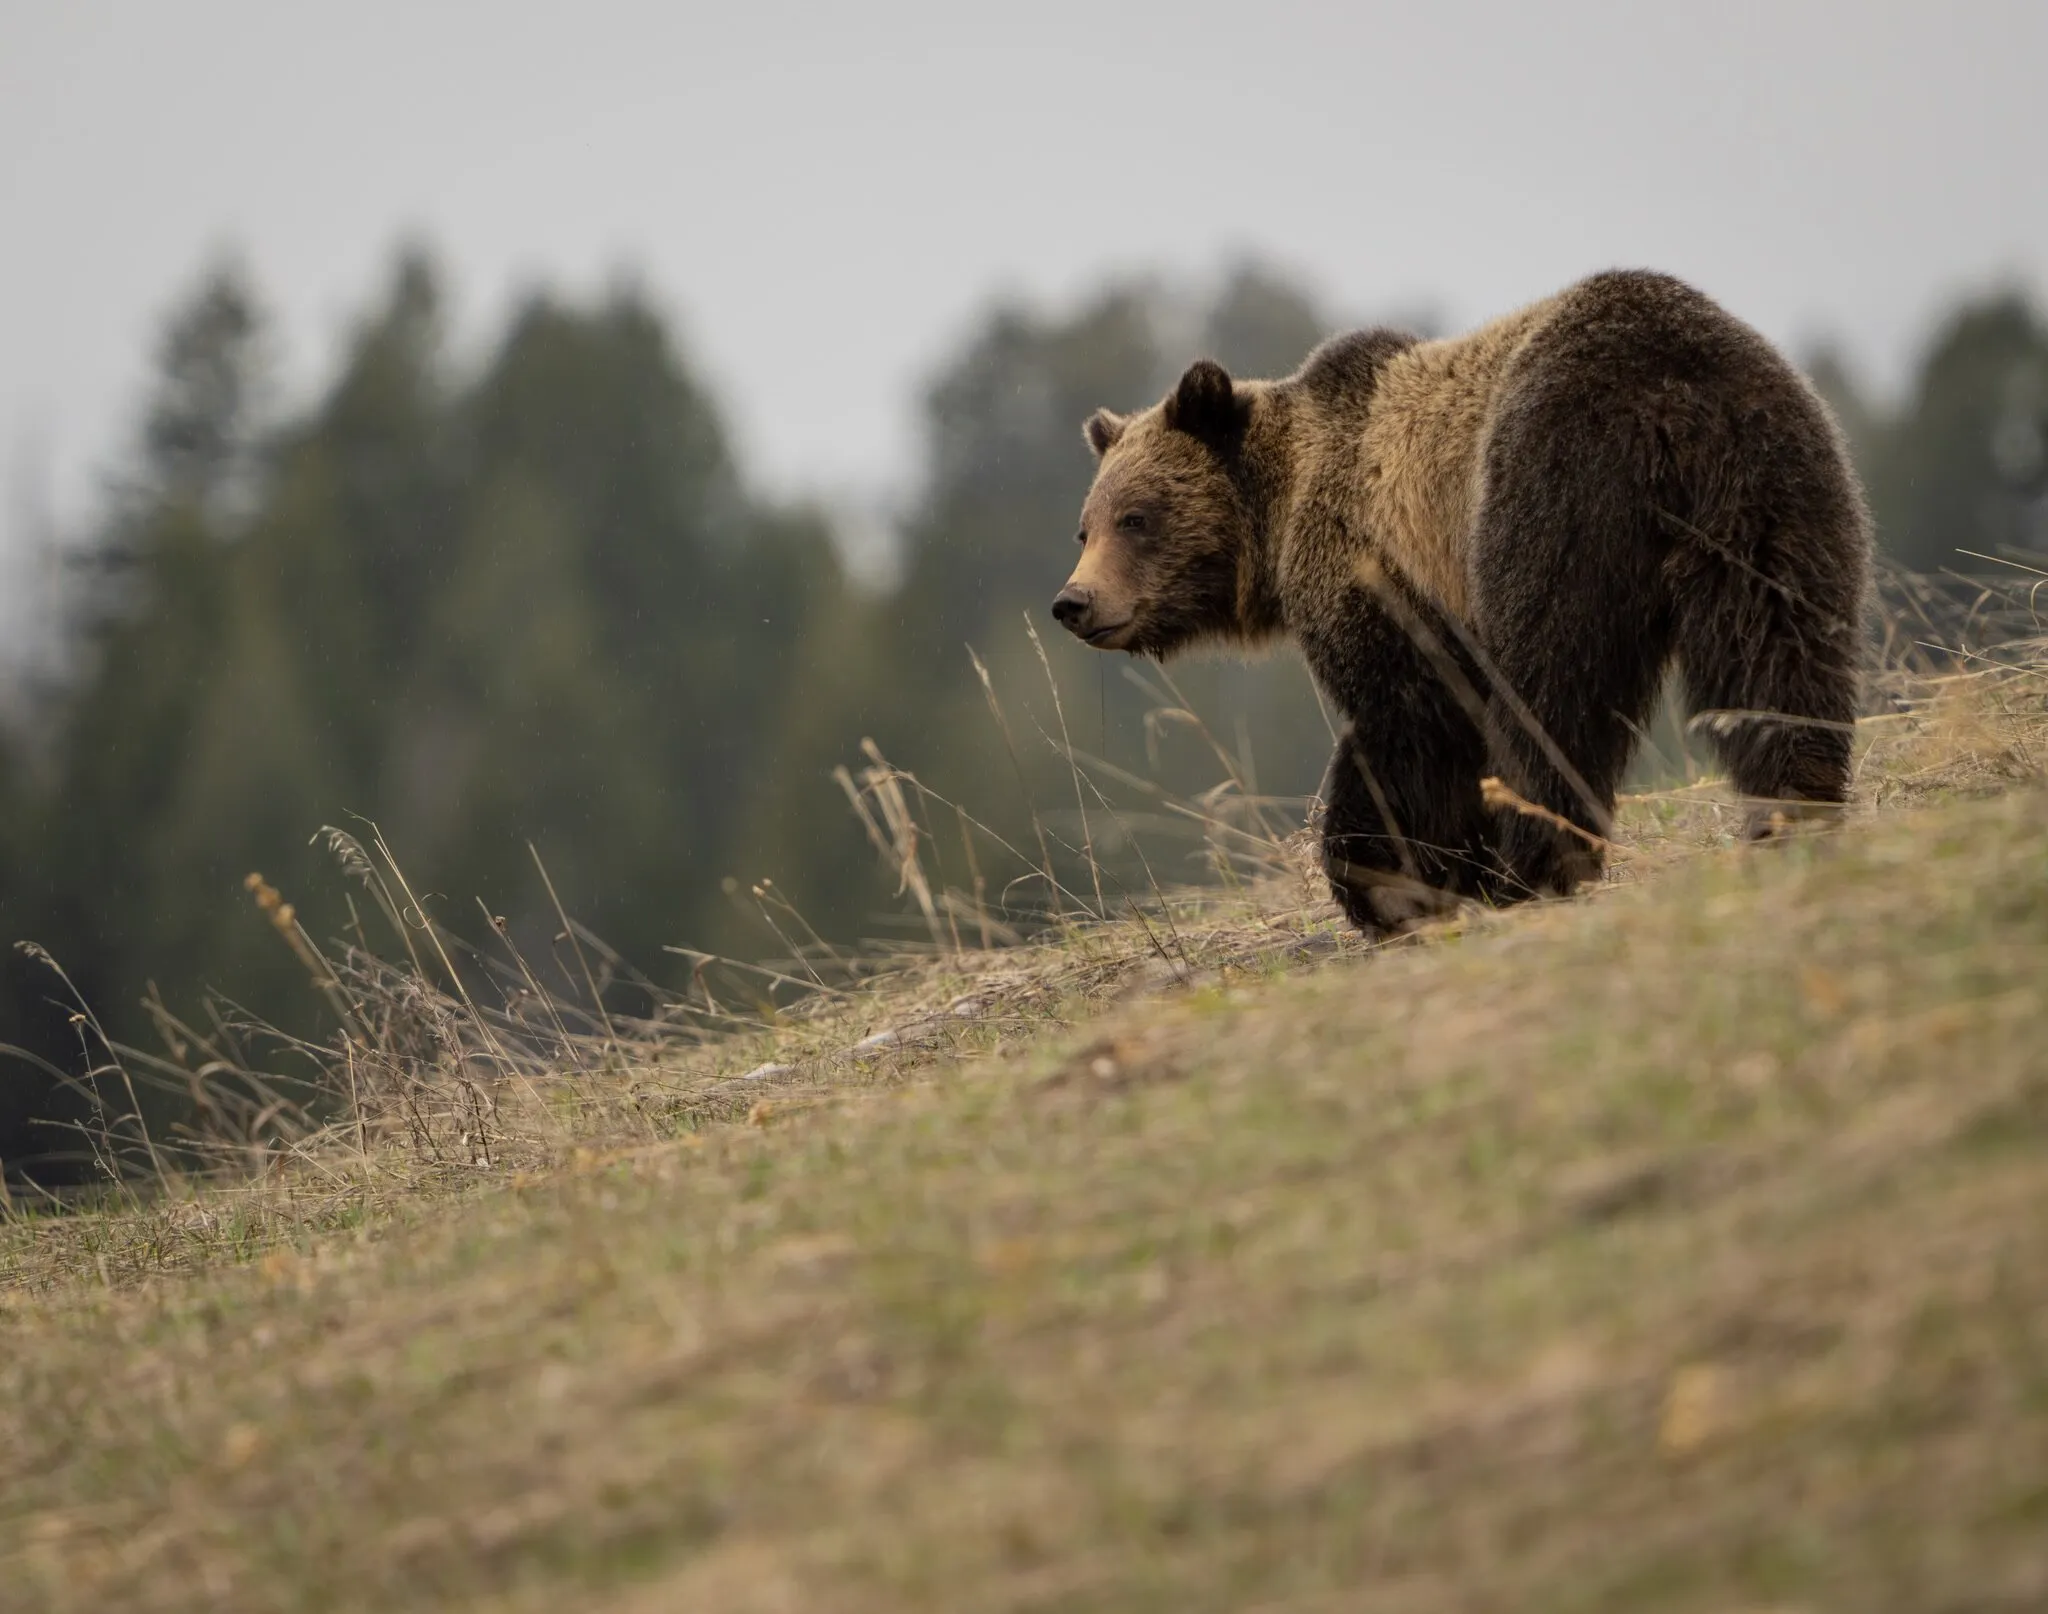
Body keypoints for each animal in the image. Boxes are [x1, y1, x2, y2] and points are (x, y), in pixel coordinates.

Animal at [1051, 269, 1872, 935]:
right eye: (1085, 525)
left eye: (1137, 517)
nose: (1075, 602)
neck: (1280, 512)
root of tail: (1668, 392)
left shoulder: (1384, 571)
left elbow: (1411, 724)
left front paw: (1392, 883)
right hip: (1771, 487)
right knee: (1776, 646)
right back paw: (1796, 806)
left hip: (1546, 491)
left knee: (1550, 689)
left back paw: (1533, 864)